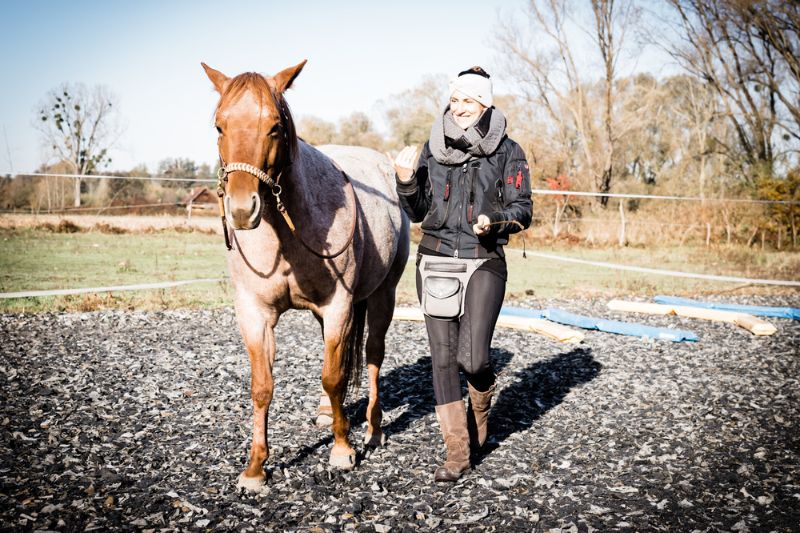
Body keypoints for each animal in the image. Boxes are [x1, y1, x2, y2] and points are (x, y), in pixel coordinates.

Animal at [203, 59, 410, 490]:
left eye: (274, 127)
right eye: (219, 126)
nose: (242, 210)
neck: (286, 232)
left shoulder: (338, 307)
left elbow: (333, 377)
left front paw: (342, 450)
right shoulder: (255, 314)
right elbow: (262, 386)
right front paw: (255, 468)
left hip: (383, 295)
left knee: (373, 355)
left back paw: (373, 429)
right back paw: (327, 413)